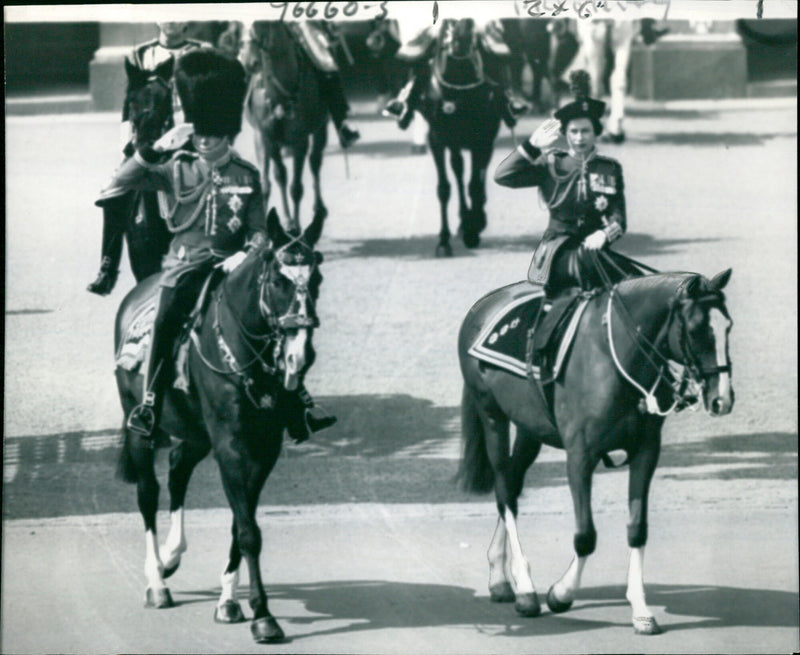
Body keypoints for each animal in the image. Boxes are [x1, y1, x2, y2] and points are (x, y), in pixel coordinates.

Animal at [115, 210, 324, 644]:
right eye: (278, 280)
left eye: (317, 279)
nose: (300, 356)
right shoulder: (231, 447)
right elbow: (247, 531)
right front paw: (263, 615)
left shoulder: (263, 450)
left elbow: (239, 524)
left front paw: (229, 601)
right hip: (140, 429)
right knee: (148, 494)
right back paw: (156, 581)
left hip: (194, 433)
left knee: (178, 471)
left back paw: (172, 554)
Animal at [245, 21, 330, 236]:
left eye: (263, 23)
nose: (248, 61)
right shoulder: (264, 137)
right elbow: (268, 183)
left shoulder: (300, 140)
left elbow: (296, 188)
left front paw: (296, 228)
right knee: (281, 175)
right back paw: (287, 219)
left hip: (321, 128)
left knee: (315, 162)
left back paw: (319, 209)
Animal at [416, 18, 504, 258]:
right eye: (447, 26)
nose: (461, 32)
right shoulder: (438, 139)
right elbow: (444, 188)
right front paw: (444, 241)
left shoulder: (482, 139)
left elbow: (475, 184)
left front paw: (474, 230)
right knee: (458, 170)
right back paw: (464, 220)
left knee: (476, 177)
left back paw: (475, 220)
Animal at [454, 270, 736, 632]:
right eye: (698, 328)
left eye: (728, 326)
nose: (722, 399)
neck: (615, 357)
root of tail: (484, 305)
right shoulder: (580, 456)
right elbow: (586, 535)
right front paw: (560, 593)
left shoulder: (646, 453)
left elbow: (637, 530)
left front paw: (640, 609)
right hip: (493, 418)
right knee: (505, 491)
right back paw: (526, 590)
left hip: (530, 429)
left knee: (512, 487)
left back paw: (500, 578)